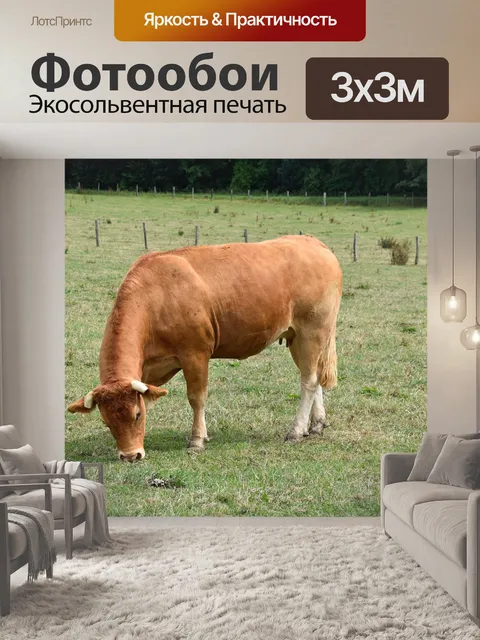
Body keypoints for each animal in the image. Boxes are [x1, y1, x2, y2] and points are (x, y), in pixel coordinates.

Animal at [68, 235, 342, 462]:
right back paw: (316, 424)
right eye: (105, 421)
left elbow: (196, 397)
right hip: (297, 337)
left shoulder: (195, 353)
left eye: (137, 415)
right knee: (313, 376)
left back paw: (296, 430)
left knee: (308, 381)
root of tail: (314, 243)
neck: (155, 297)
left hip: (312, 331)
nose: (130, 455)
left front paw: (197, 439)